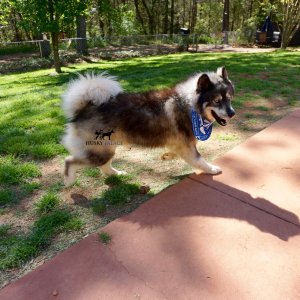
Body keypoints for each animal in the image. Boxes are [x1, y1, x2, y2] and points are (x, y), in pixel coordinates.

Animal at [62, 67, 236, 186]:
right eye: (217, 101)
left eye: (229, 98)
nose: (232, 113)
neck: (189, 104)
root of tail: (84, 108)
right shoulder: (187, 146)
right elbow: (199, 160)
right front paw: (212, 169)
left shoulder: (182, 145)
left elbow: (178, 153)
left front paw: (167, 156)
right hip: (100, 151)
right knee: (70, 161)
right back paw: (69, 180)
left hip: (108, 148)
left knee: (104, 167)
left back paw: (117, 174)